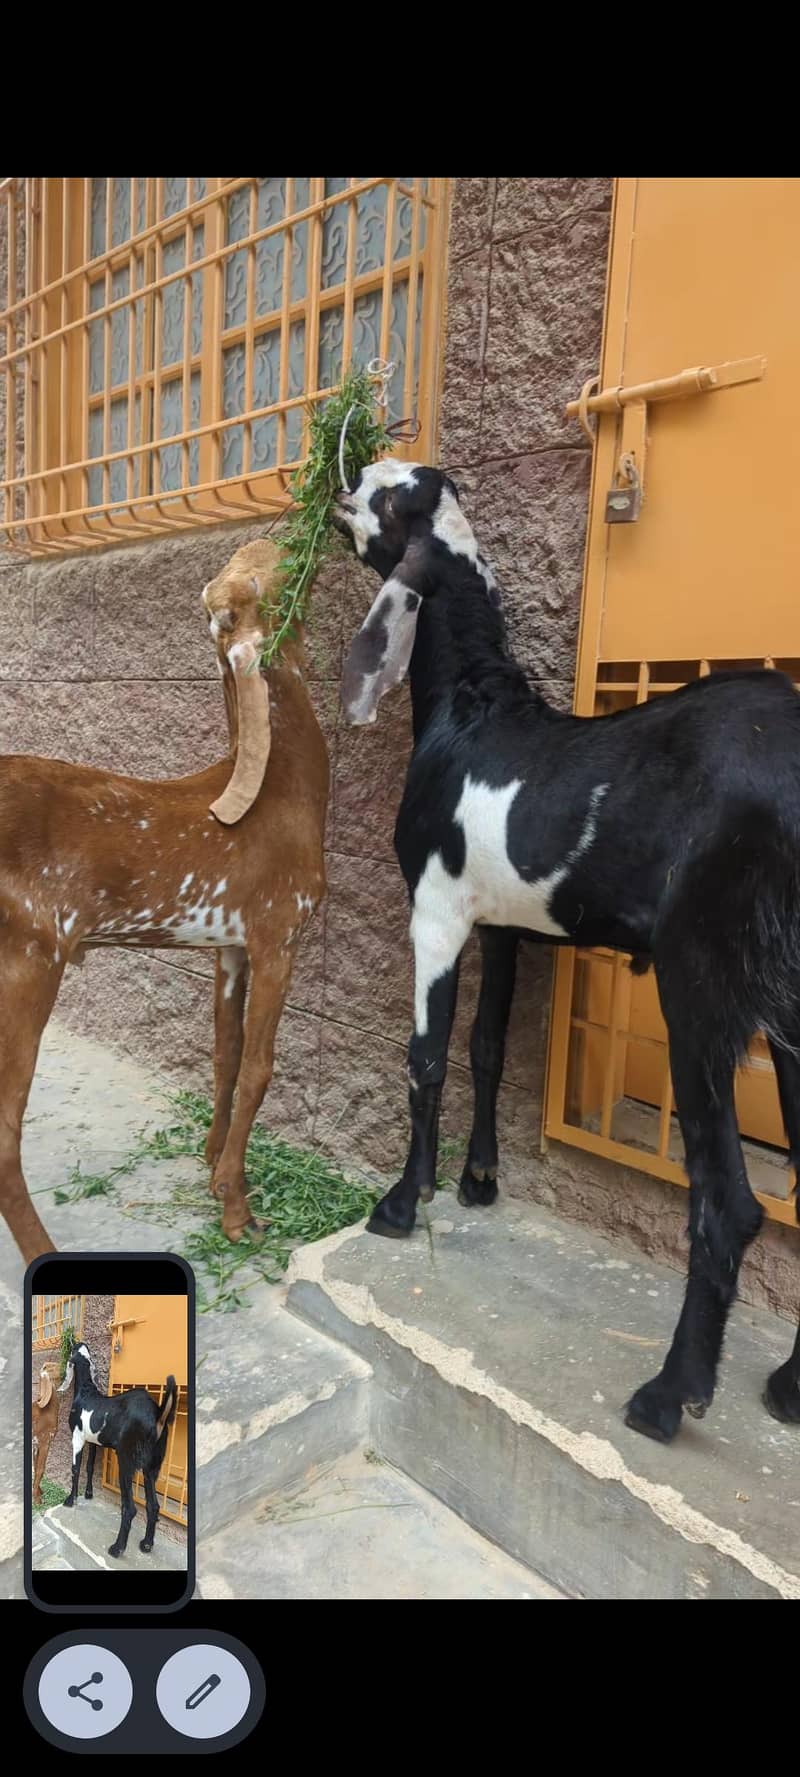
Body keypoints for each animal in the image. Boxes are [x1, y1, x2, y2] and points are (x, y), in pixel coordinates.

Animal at [0, 538, 328, 1260]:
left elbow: (226, 1053)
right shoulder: (279, 930)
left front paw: (215, 1171)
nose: (287, 535)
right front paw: (238, 1213)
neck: (281, 789)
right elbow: (261, 1066)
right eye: (265, 582)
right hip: (27, 958)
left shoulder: (228, 944)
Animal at [58, 1339, 177, 1558]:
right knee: (153, 1506)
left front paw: (71, 1500)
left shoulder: (77, 1437)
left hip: (126, 1461)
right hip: (152, 1466)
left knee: (129, 1508)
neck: (86, 1390)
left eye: (73, 1349)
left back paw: (117, 1548)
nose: (78, 1341)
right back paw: (146, 1544)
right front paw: (88, 1494)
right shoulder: (93, 1441)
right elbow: (89, 1467)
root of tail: (157, 1415)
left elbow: (75, 1469)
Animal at [336, 459, 800, 1447]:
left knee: (730, 1200)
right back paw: (788, 1384)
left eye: (389, 497)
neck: (472, 707)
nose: (336, 484)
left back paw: (668, 1395)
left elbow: (426, 1057)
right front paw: (477, 1180)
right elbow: (488, 1046)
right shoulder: (507, 921)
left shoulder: (435, 909)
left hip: (701, 979)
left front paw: (403, 1201)